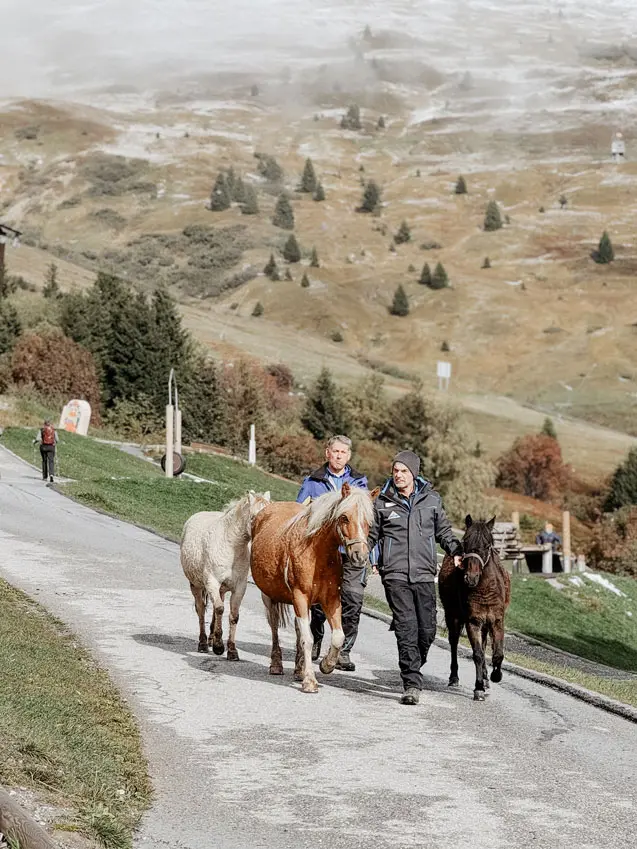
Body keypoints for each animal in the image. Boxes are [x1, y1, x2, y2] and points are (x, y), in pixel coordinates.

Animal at [180, 490, 270, 664]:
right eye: (254, 517)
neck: (231, 546)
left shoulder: (239, 587)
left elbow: (233, 616)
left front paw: (232, 651)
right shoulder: (212, 583)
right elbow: (220, 609)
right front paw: (219, 647)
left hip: (220, 589)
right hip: (196, 585)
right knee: (201, 609)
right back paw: (203, 643)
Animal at [250, 480, 378, 692]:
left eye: (370, 521)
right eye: (344, 517)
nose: (359, 556)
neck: (316, 553)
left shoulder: (331, 599)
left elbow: (338, 636)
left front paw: (326, 665)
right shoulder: (300, 596)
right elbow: (307, 639)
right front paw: (310, 680)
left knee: (297, 629)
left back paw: (298, 668)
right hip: (269, 596)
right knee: (275, 627)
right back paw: (276, 665)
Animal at [438, 516, 512, 704]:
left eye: (487, 546)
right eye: (465, 541)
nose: (470, 577)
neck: (484, 589)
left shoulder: (497, 621)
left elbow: (497, 654)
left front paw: (494, 677)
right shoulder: (473, 622)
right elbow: (477, 654)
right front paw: (478, 688)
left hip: (485, 625)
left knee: (485, 645)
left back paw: (486, 678)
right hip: (453, 616)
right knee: (454, 642)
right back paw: (454, 677)